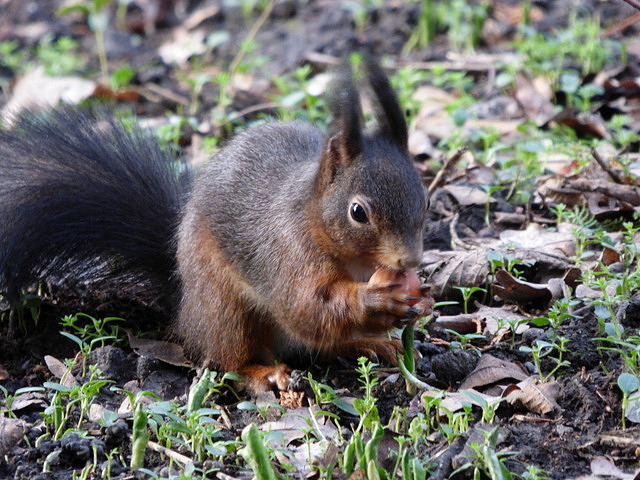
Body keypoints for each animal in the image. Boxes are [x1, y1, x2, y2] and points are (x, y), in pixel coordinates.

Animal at [0, 56, 432, 392]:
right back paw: (263, 372)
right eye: (358, 212)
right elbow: (306, 306)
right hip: (225, 307)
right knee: (228, 359)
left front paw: (421, 299)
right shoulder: (287, 251)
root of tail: (184, 304)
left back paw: (374, 343)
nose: (410, 261)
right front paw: (379, 300)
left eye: (425, 199)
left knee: (326, 343)